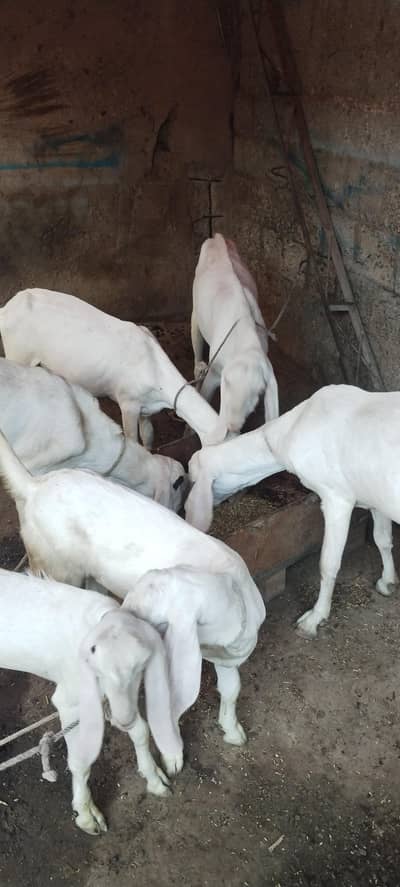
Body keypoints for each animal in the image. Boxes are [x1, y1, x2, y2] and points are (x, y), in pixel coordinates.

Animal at [0, 288, 220, 448]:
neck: (155, 368)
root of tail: (8, 307)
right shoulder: (128, 404)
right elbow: (133, 441)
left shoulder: (146, 408)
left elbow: (148, 436)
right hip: (18, 354)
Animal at [0, 569, 182, 834]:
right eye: (97, 666)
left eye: (140, 667)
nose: (123, 719)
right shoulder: (70, 702)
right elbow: (81, 761)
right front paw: (86, 815)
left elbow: (141, 731)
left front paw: (154, 779)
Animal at [184, 385, 400, 637]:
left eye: (193, 479)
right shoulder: (375, 496)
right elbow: (382, 540)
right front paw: (388, 581)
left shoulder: (337, 498)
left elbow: (328, 563)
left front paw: (314, 619)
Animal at [191, 234, 279, 444]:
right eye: (226, 388)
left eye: (257, 396)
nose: (232, 427)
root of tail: (217, 237)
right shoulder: (215, 369)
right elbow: (205, 395)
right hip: (195, 311)